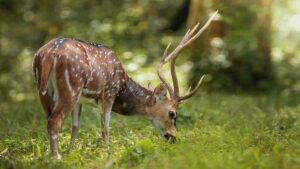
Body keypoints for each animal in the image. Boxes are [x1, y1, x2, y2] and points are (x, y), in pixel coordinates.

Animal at [31, 11, 217, 159]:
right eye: (172, 113)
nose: (173, 138)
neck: (123, 85)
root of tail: (49, 54)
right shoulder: (109, 92)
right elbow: (105, 127)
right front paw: (106, 154)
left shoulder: (82, 100)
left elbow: (75, 126)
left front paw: (71, 153)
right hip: (71, 86)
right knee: (54, 121)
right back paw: (56, 158)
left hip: (45, 90)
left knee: (49, 119)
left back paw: (54, 155)